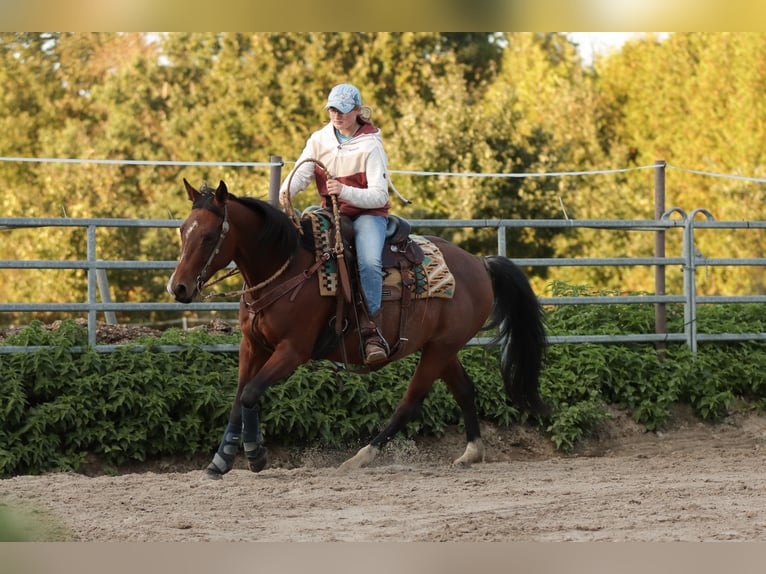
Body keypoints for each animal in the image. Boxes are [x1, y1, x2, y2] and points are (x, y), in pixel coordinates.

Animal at [169, 180, 552, 482]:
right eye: (183, 230)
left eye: (208, 236)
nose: (179, 288)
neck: (287, 267)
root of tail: (479, 263)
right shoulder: (253, 345)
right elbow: (239, 396)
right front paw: (221, 460)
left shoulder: (293, 351)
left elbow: (251, 393)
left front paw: (256, 454)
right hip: (442, 347)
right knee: (465, 390)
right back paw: (471, 452)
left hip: (439, 349)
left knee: (410, 402)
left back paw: (361, 457)